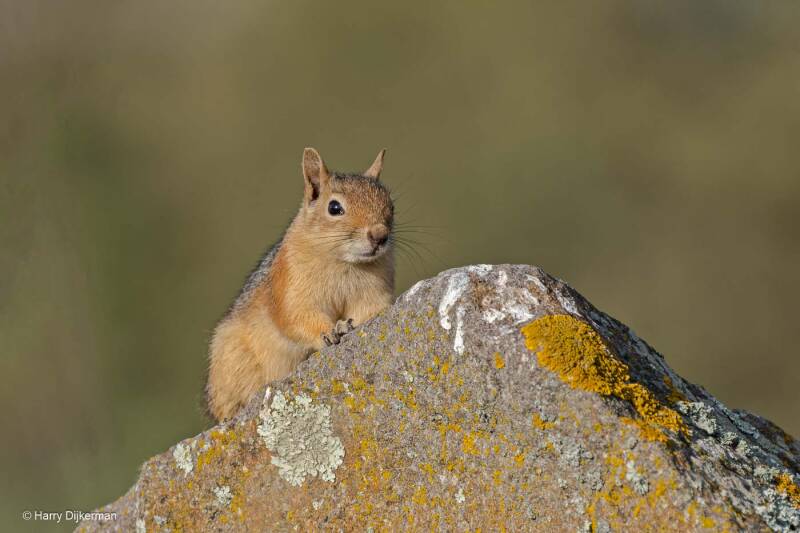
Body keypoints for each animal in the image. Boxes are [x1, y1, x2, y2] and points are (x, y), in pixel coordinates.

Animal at [205, 147, 395, 421]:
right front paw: (329, 332)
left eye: (391, 204)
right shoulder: (291, 287)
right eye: (334, 207)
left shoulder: (374, 294)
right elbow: (296, 317)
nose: (379, 235)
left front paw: (346, 326)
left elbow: (370, 312)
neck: (345, 264)